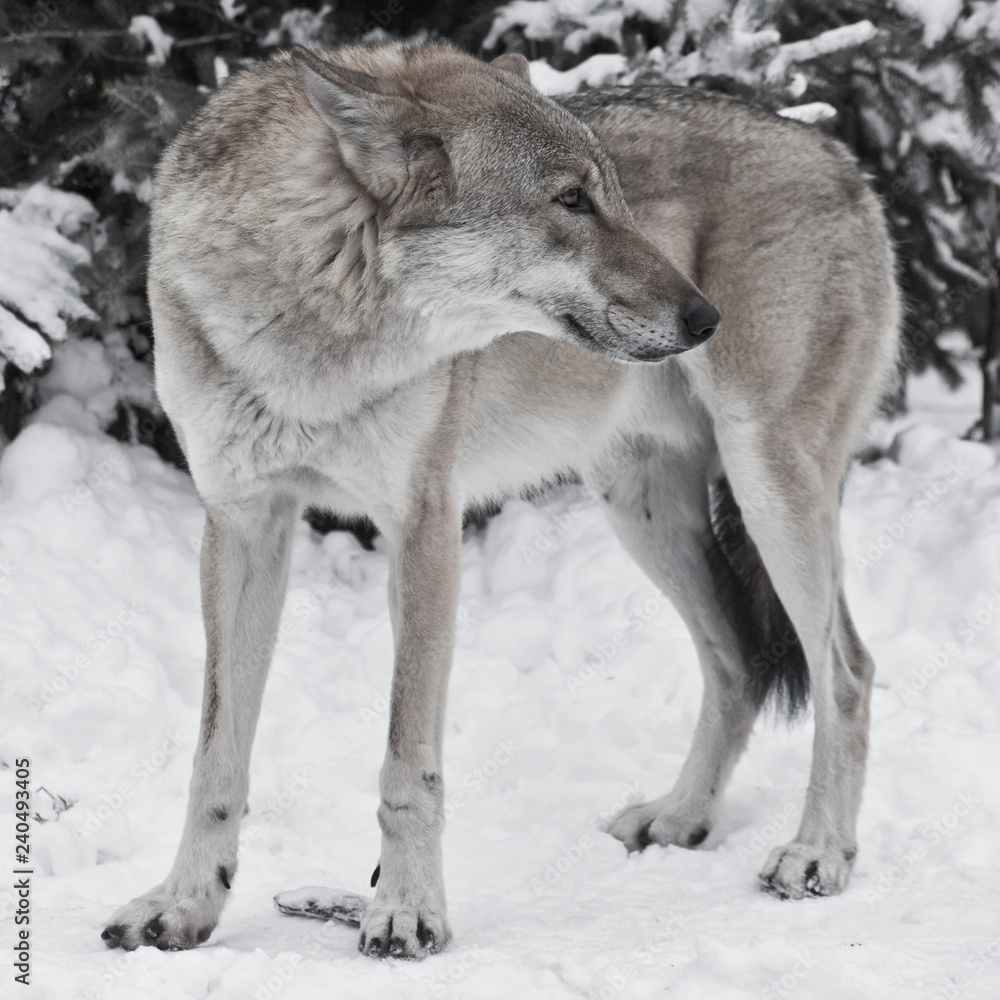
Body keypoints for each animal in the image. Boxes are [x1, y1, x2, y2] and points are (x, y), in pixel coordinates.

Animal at [101, 42, 899, 958]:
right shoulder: (241, 524)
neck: (313, 329)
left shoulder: (424, 525)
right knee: (736, 662)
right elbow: (215, 756)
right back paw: (680, 817)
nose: (707, 317)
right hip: (640, 506)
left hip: (765, 482)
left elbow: (406, 762)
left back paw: (817, 854)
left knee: (847, 668)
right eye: (572, 199)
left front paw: (405, 911)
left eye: (614, 194)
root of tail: (835, 152)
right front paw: (184, 904)